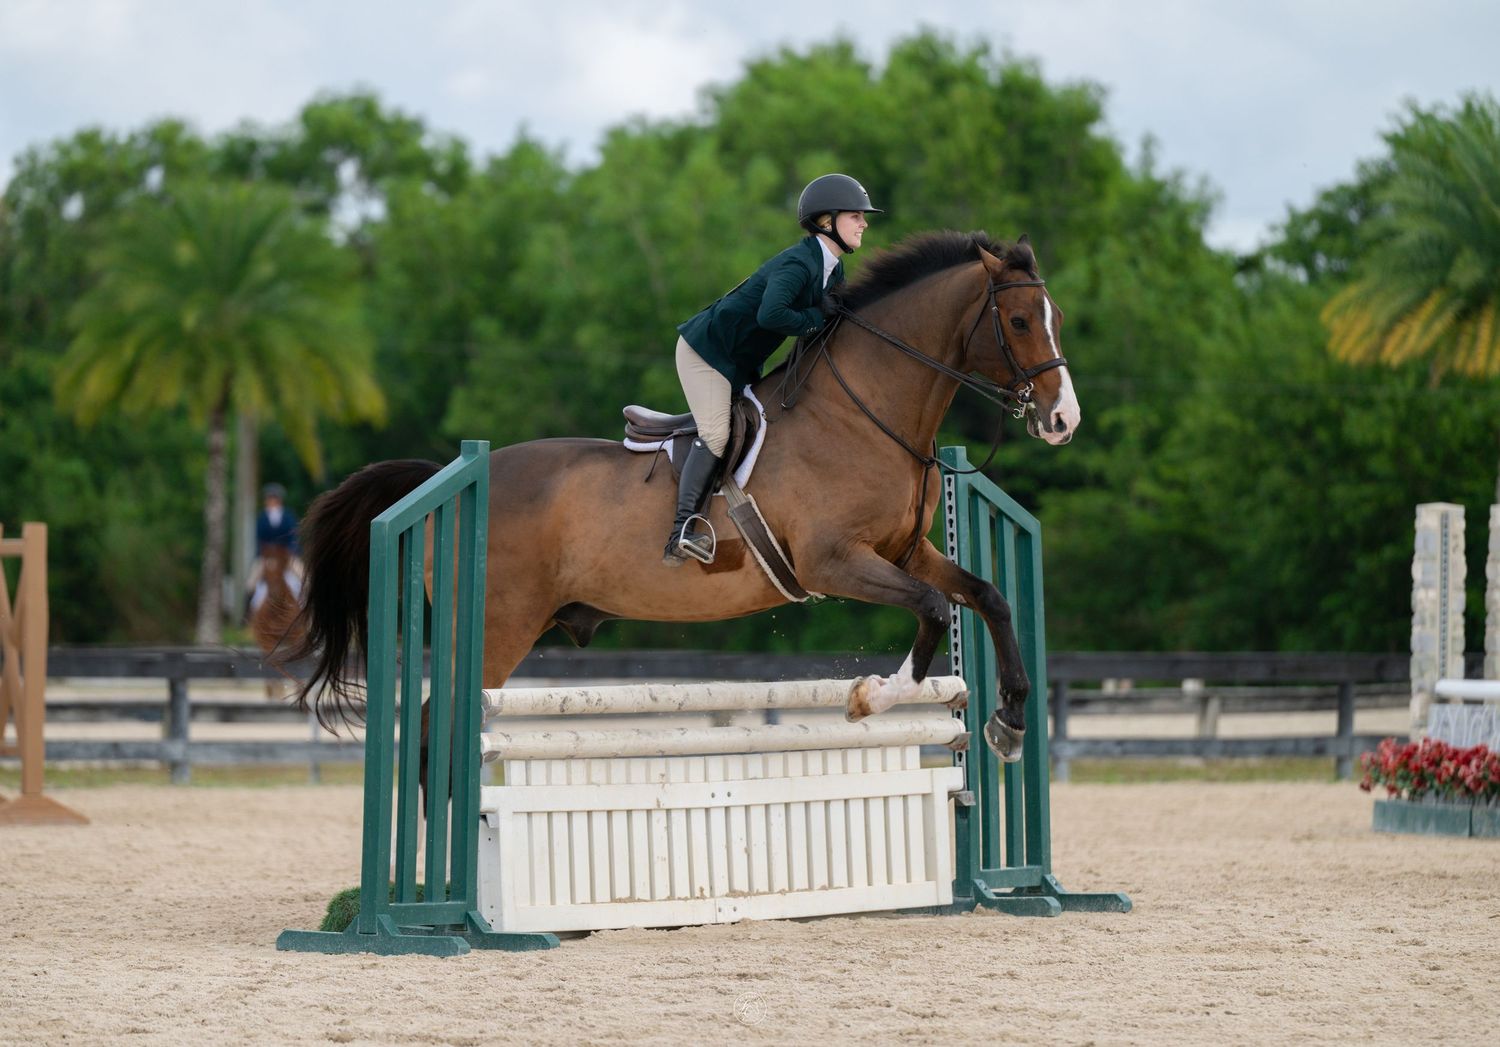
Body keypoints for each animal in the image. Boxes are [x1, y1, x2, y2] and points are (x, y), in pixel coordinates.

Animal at [281, 230, 1079, 766]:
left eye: (1057, 318)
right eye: (1017, 321)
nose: (1063, 420)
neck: (865, 411)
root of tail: (452, 476)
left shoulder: (906, 549)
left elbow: (986, 597)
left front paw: (1008, 723)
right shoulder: (833, 562)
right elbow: (934, 609)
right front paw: (872, 696)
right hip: (495, 629)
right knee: (431, 728)